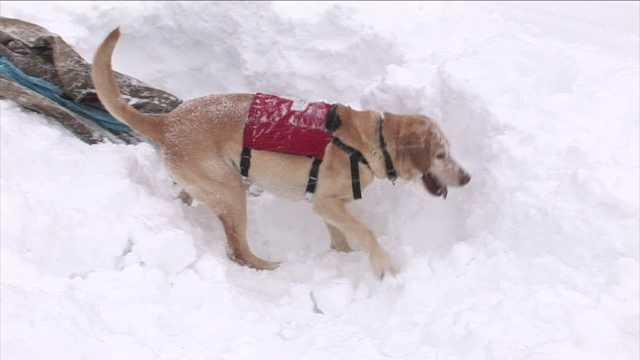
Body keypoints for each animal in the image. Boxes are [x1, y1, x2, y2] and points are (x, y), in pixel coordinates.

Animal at [91, 29, 470, 280]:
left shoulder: (329, 206)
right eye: (440, 155)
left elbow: (341, 237)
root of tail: (167, 121)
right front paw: (383, 266)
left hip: (208, 184)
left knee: (190, 201)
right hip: (233, 191)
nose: (466, 178)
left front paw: (344, 257)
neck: (369, 142)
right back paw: (267, 266)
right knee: (237, 250)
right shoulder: (326, 203)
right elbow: (366, 232)